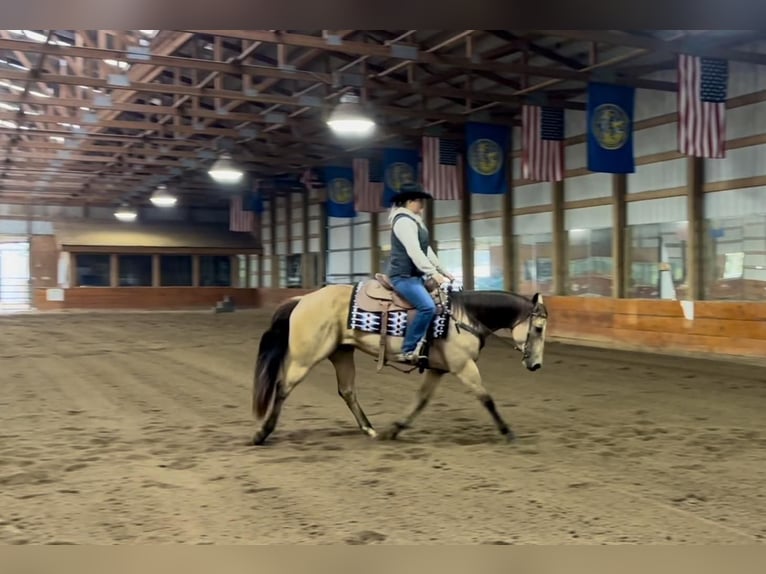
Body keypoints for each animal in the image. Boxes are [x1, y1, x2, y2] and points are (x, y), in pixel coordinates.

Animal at [254, 276, 552, 448]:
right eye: (538, 328)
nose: (536, 365)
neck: (462, 316)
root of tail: (302, 299)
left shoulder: (438, 369)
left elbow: (421, 400)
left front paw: (395, 429)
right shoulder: (463, 366)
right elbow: (486, 398)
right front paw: (507, 432)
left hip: (341, 353)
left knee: (347, 391)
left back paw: (371, 430)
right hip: (306, 357)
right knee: (282, 387)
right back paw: (261, 433)